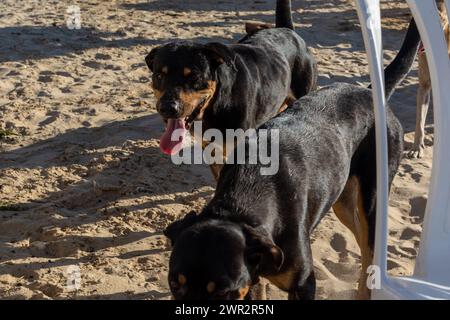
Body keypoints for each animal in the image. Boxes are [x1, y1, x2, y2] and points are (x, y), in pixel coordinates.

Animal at [145, 0, 316, 180]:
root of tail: (286, 29)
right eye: (159, 75)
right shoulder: (211, 150)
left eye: (193, 76)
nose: (167, 108)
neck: (216, 105)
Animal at [165, 19, 422, 300]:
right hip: (341, 199)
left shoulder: (303, 283)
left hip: (372, 197)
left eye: (223, 292)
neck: (244, 199)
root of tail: (369, 94)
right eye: (174, 283)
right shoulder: (253, 280)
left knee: (369, 249)